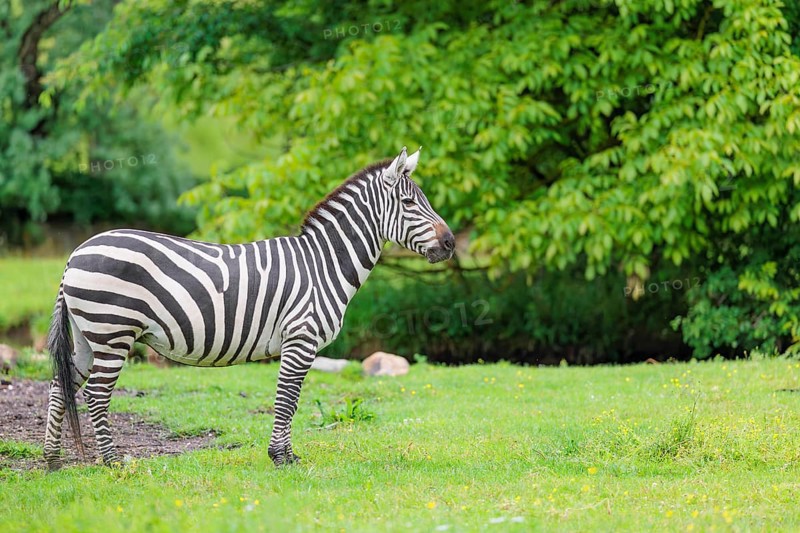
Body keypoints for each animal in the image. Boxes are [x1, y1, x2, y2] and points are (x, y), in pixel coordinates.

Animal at [44, 147, 455, 470]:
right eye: (409, 203)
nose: (451, 243)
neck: (323, 264)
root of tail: (76, 253)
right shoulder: (300, 339)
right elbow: (287, 400)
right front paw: (281, 458)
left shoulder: (296, 344)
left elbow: (290, 401)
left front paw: (287, 455)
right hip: (113, 332)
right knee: (96, 394)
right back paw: (113, 462)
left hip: (89, 337)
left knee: (60, 386)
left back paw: (52, 461)